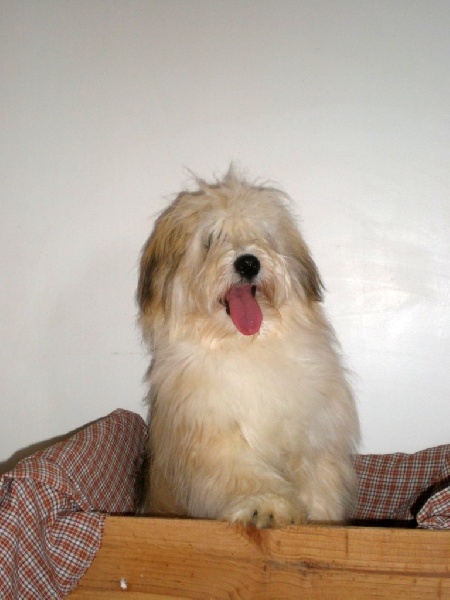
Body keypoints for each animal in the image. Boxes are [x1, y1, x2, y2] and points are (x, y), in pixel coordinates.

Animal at [136, 168, 359, 528]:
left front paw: (320, 519)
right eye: (211, 239)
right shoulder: (211, 435)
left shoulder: (312, 435)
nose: (248, 263)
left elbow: (318, 482)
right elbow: (243, 472)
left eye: (262, 237)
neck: (247, 347)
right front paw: (267, 507)